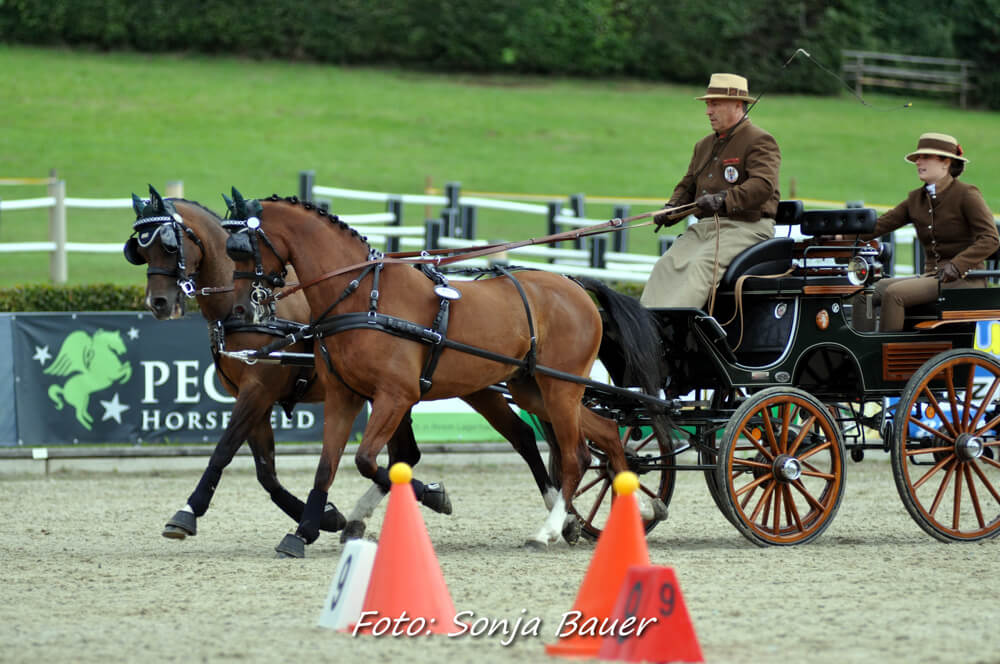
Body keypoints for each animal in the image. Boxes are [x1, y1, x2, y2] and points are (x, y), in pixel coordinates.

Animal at [123, 187, 453, 554]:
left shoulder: (258, 390)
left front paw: (188, 510)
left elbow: (224, 450)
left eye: (168, 245)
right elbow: (266, 472)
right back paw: (364, 517)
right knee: (404, 455)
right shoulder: (253, 396)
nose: (158, 303)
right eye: (140, 249)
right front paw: (325, 515)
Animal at [222, 194, 669, 555]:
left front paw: (433, 495)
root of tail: (575, 285)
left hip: (559, 387)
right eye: (230, 250)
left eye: (244, 248)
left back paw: (547, 531)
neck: (364, 296)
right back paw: (630, 508)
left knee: (576, 455)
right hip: (534, 388)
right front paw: (304, 531)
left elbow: (371, 461)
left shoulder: (396, 395)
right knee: (606, 434)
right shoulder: (343, 396)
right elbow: (327, 466)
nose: (241, 310)